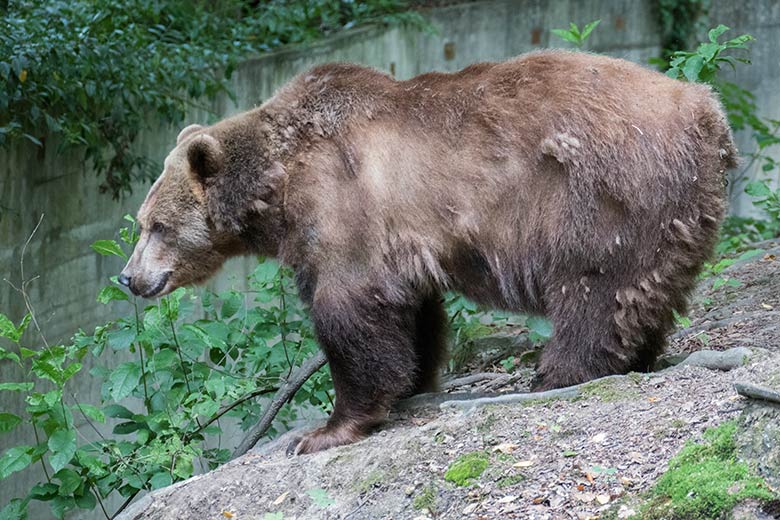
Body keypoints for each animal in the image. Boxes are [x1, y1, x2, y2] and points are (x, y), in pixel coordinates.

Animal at [119, 50, 736, 452]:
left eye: (155, 226)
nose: (128, 278)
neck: (278, 183)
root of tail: (706, 111)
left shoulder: (345, 208)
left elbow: (348, 311)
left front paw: (325, 430)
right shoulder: (399, 239)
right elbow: (408, 311)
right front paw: (412, 384)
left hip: (602, 195)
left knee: (594, 289)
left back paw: (558, 373)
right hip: (675, 214)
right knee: (646, 290)